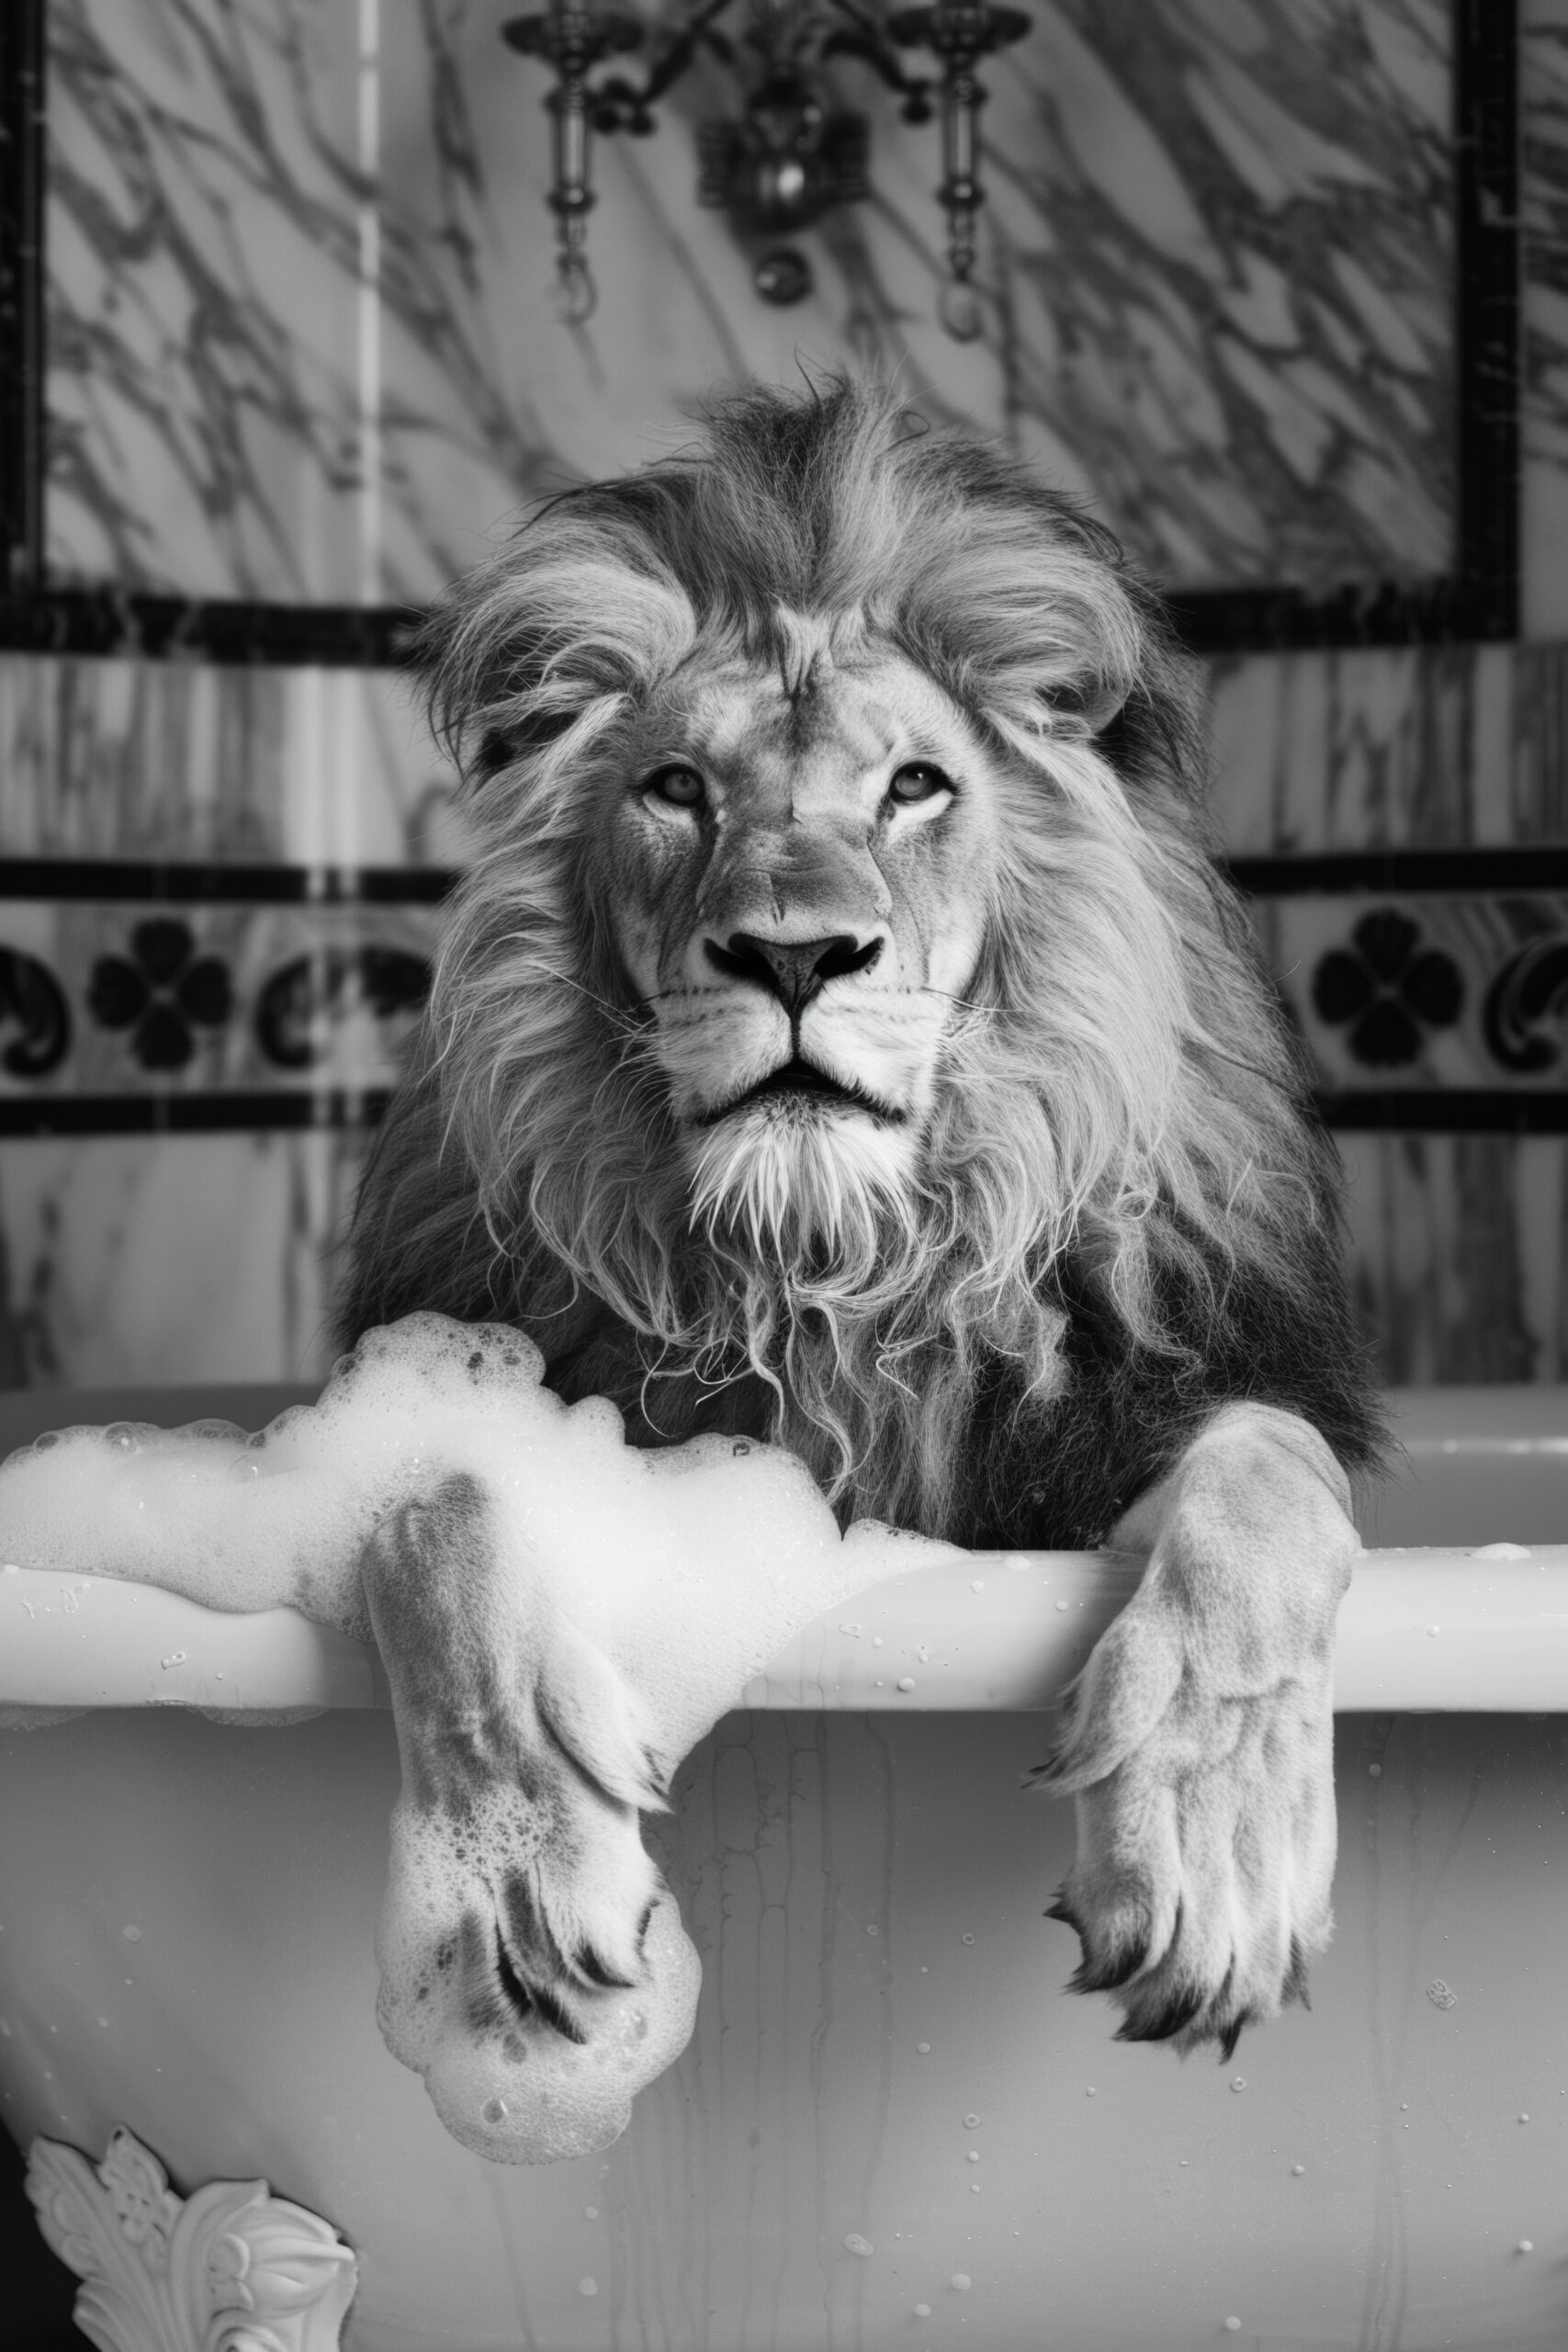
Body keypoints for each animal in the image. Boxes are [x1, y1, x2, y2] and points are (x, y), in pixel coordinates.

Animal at [338, 376, 1381, 2066]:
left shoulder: (1123, 1422)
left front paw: (1208, 1855)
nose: (793, 955)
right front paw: (510, 1879)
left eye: (912, 788)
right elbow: (441, 1492)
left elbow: (1262, 1487)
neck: (825, 1275)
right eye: (676, 790)